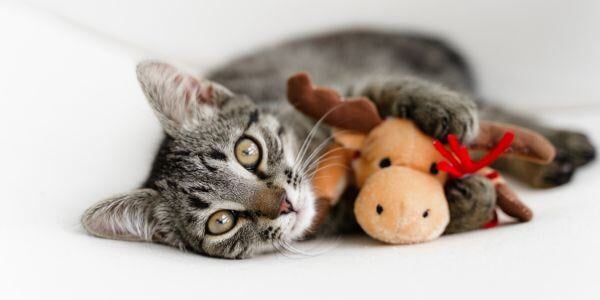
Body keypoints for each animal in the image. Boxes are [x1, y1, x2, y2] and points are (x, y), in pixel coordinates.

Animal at [81, 29, 596, 258]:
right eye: (222, 221)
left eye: (248, 151)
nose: (285, 204)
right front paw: (467, 201)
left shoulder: (338, 89)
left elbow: (381, 87)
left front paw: (439, 106)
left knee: (500, 113)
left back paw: (560, 146)